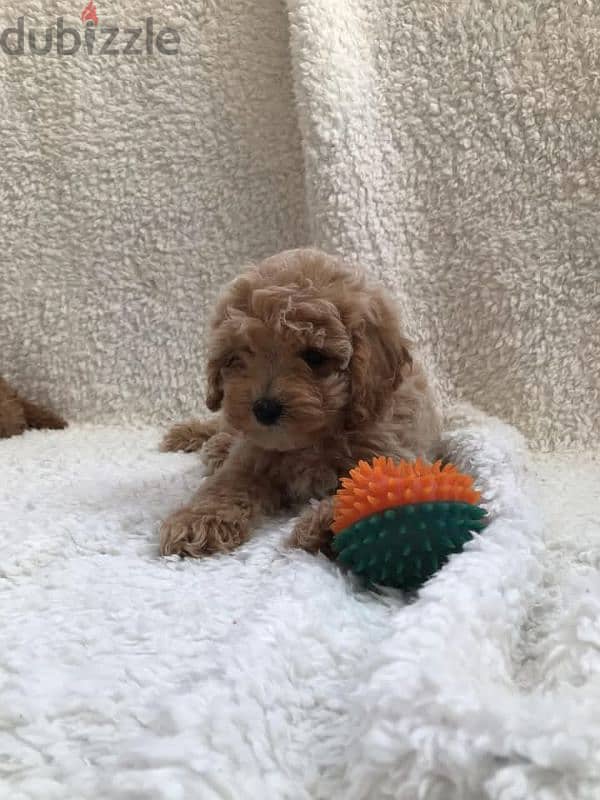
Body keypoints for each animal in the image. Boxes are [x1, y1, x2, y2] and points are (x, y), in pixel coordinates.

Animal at [159, 248, 440, 556]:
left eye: (314, 356)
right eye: (239, 357)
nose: (264, 409)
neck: (312, 440)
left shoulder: (394, 453)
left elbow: (374, 486)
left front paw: (333, 523)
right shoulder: (251, 459)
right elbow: (225, 485)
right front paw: (198, 520)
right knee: (224, 425)